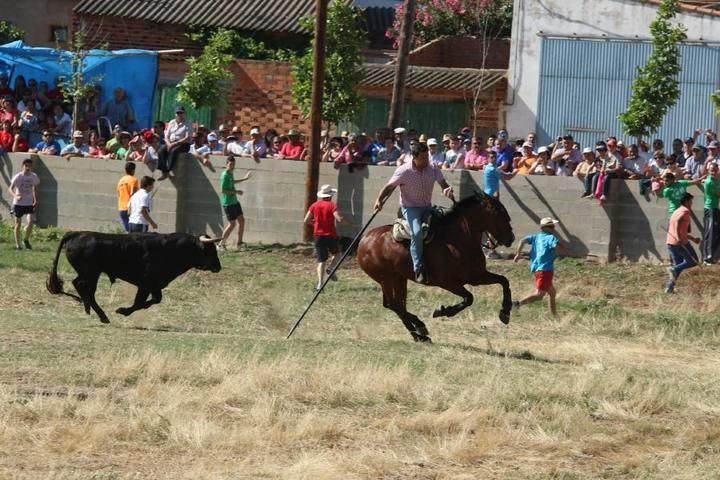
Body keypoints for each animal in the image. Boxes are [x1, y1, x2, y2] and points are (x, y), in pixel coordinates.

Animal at [46, 232, 221, 322]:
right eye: (211, 249)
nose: (218, 267)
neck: (172, 249)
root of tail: (75, 234)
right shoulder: (146, 283)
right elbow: (143, 301)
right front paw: (122, 310)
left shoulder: (152, 285)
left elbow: (150, 301)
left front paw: (124, 310)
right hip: (91, 273)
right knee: (85, 288)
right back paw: (102, 316)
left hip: (89, 273)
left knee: (79, 286)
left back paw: (89, 309)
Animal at [358, 189, 516, 344]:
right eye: (499, 212)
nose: (511, 238)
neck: (458, 240)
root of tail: (364, 240)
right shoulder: (447, 282)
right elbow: (469, 298)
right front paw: (443, 311)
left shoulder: (477, 276)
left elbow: (504, 281)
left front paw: (505, 312)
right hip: (386, 279)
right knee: (393, 304)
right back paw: (421, 329)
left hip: (399, 279)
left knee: (398, 304)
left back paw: (419, 335)